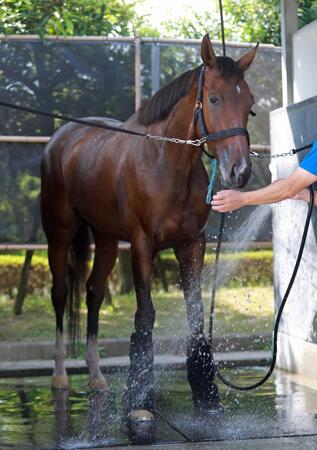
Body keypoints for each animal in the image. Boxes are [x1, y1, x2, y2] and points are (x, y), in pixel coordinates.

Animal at [39, 35, 256, 418]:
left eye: (249, 103)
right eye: (214, 98)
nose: (240, 171)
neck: (165, 163)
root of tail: (59, 139)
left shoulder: (192, 244)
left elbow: (195, 311)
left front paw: (206, 393)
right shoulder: (142, 245)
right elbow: (145, 314)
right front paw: (140, 400)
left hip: (106, 239)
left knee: (94, 292)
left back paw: (96, 376)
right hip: (59, 235)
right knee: (61, 293)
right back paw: (61, 374)